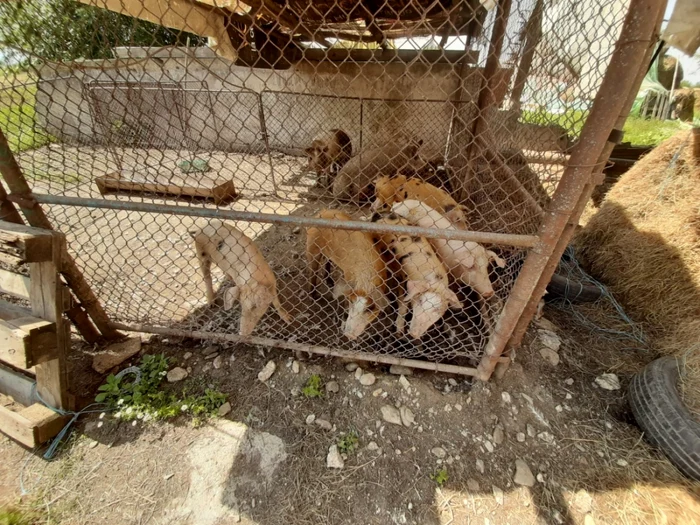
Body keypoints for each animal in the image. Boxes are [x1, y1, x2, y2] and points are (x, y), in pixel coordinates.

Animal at [304, 209, 388, 340]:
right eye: (351, 303)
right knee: (313, 271)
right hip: (312, 247)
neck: (366, 281)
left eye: (370, 308)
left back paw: (330, 282)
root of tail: (322, 212)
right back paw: (313, 297)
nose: (349, 334)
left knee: (327, 261)